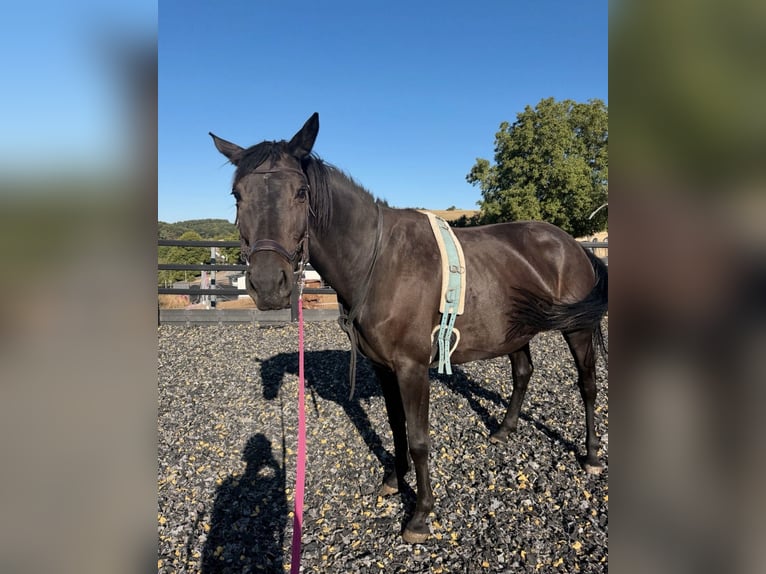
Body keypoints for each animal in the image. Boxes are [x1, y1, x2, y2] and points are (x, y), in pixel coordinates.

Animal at [209, 113, 608, 544]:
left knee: (587, 386)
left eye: (301, 193)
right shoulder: (383, 366)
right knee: (523, 372)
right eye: (237, 194)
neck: (379, 260)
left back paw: (591, 454)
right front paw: (394, 480)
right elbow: (396, 427)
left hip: (577, 330)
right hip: (516, 328)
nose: (268, 285)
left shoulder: (412, 368)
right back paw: (504, 430)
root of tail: (572, 244)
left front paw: (420, 514)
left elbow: (418, 439)